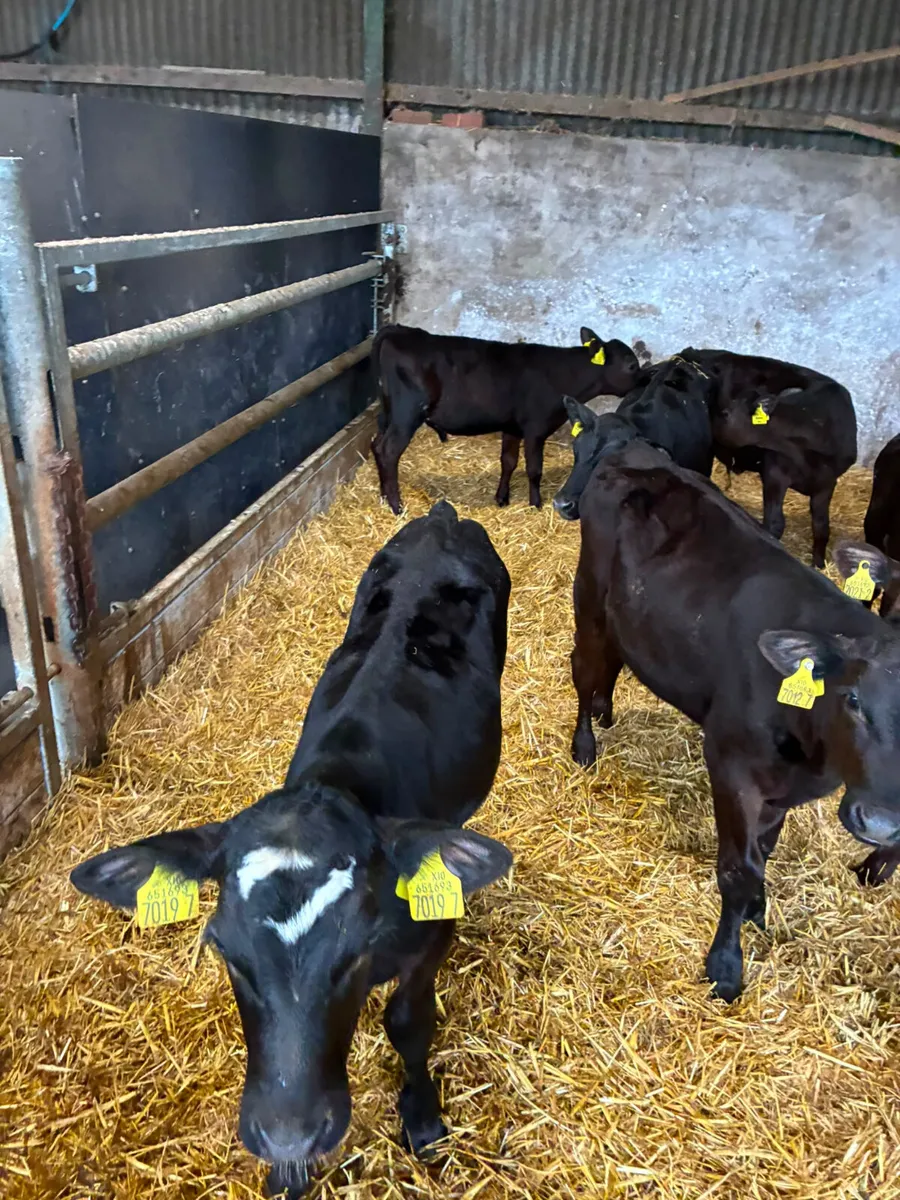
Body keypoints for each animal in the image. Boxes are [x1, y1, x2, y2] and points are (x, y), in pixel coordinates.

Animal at [70, 501, 513, 1198]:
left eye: (358, 949)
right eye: (225, 951)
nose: (288, 1134)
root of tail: (443, 516)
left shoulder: (430, 932)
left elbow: (408, 1023)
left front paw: (422, 1117)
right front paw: (289, 1171)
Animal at [370, 324, 641, 514]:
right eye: (631, 365)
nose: (644, 379)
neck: (561, 374)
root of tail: (399, 330)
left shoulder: (512, 427)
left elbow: (508, 462)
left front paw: (502, 498)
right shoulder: (535, 429)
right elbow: (534, 469)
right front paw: (535, 504)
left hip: (389, 414)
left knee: (376, 445)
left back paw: (383, 498)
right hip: (406, 414)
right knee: (388, 451)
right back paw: (396, 506)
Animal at [564, 437, 900, 1003]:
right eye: (852, 698)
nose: (879, 823)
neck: (813, 752)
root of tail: (634, 449)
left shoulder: (784, 786)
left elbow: (763, 851)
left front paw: (758, 911)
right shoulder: (731, 763)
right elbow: (737, 869)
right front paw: (725, 964)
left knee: (611, 659)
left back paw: (606, 713)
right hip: (588, 598)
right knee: (584, 666)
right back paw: (585, 744)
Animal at [674, 348, 857, 569]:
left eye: (725, 413)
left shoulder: (827, 482)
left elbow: (821, 526)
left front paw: (819, 564)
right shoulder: (775, 471)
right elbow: (775, 523)